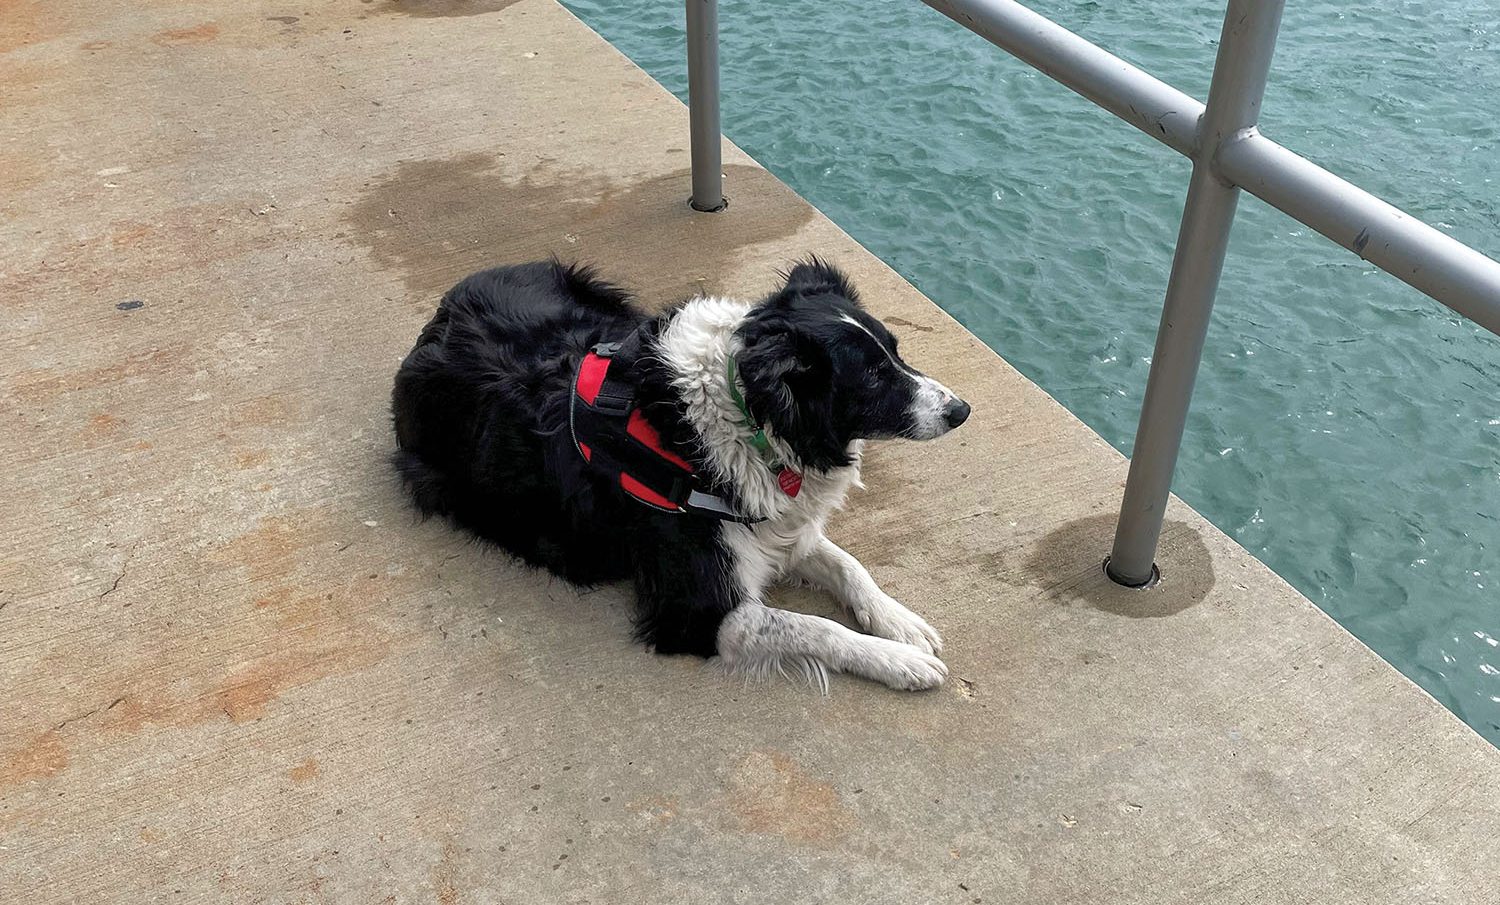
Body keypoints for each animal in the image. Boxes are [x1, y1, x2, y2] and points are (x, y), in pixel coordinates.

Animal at [390, 258, 972, 690]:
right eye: (871, 376)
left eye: (896, 352)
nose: (961, 409)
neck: (750, 425)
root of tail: (442, 309)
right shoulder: (698, 613)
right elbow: (816, 626)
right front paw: (899, 661)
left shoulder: (779, 523)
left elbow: (848, 565)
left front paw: (900, 623)